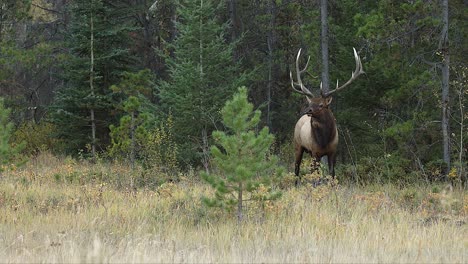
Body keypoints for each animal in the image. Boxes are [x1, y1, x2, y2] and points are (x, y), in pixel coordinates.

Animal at [290, 47, 364, 182]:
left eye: (321, 105)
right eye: (310, 103)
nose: (308, 111)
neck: (324, 140)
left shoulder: (333, 151)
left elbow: (331, 173)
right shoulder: (315, 151)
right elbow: (316, 175)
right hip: (298, 145)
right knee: (297, 169)